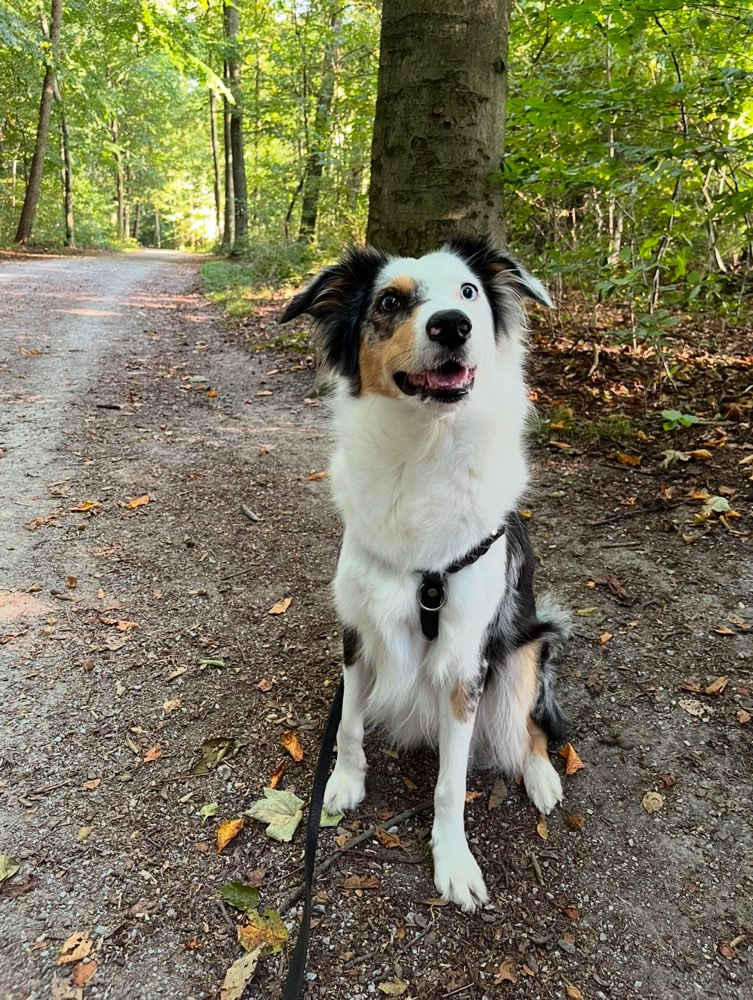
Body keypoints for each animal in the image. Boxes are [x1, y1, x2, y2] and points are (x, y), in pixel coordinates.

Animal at [282, 236, 568, 916]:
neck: (423, 449)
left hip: (527, 647)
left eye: (467, 292)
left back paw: (542, 775)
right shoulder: (358, 632)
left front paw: (453, 861)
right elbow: (349, 724)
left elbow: (450, 784)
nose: (452, 326)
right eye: (390, 301)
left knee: (531, 728)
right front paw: (343, 784)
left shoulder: (464, 664)